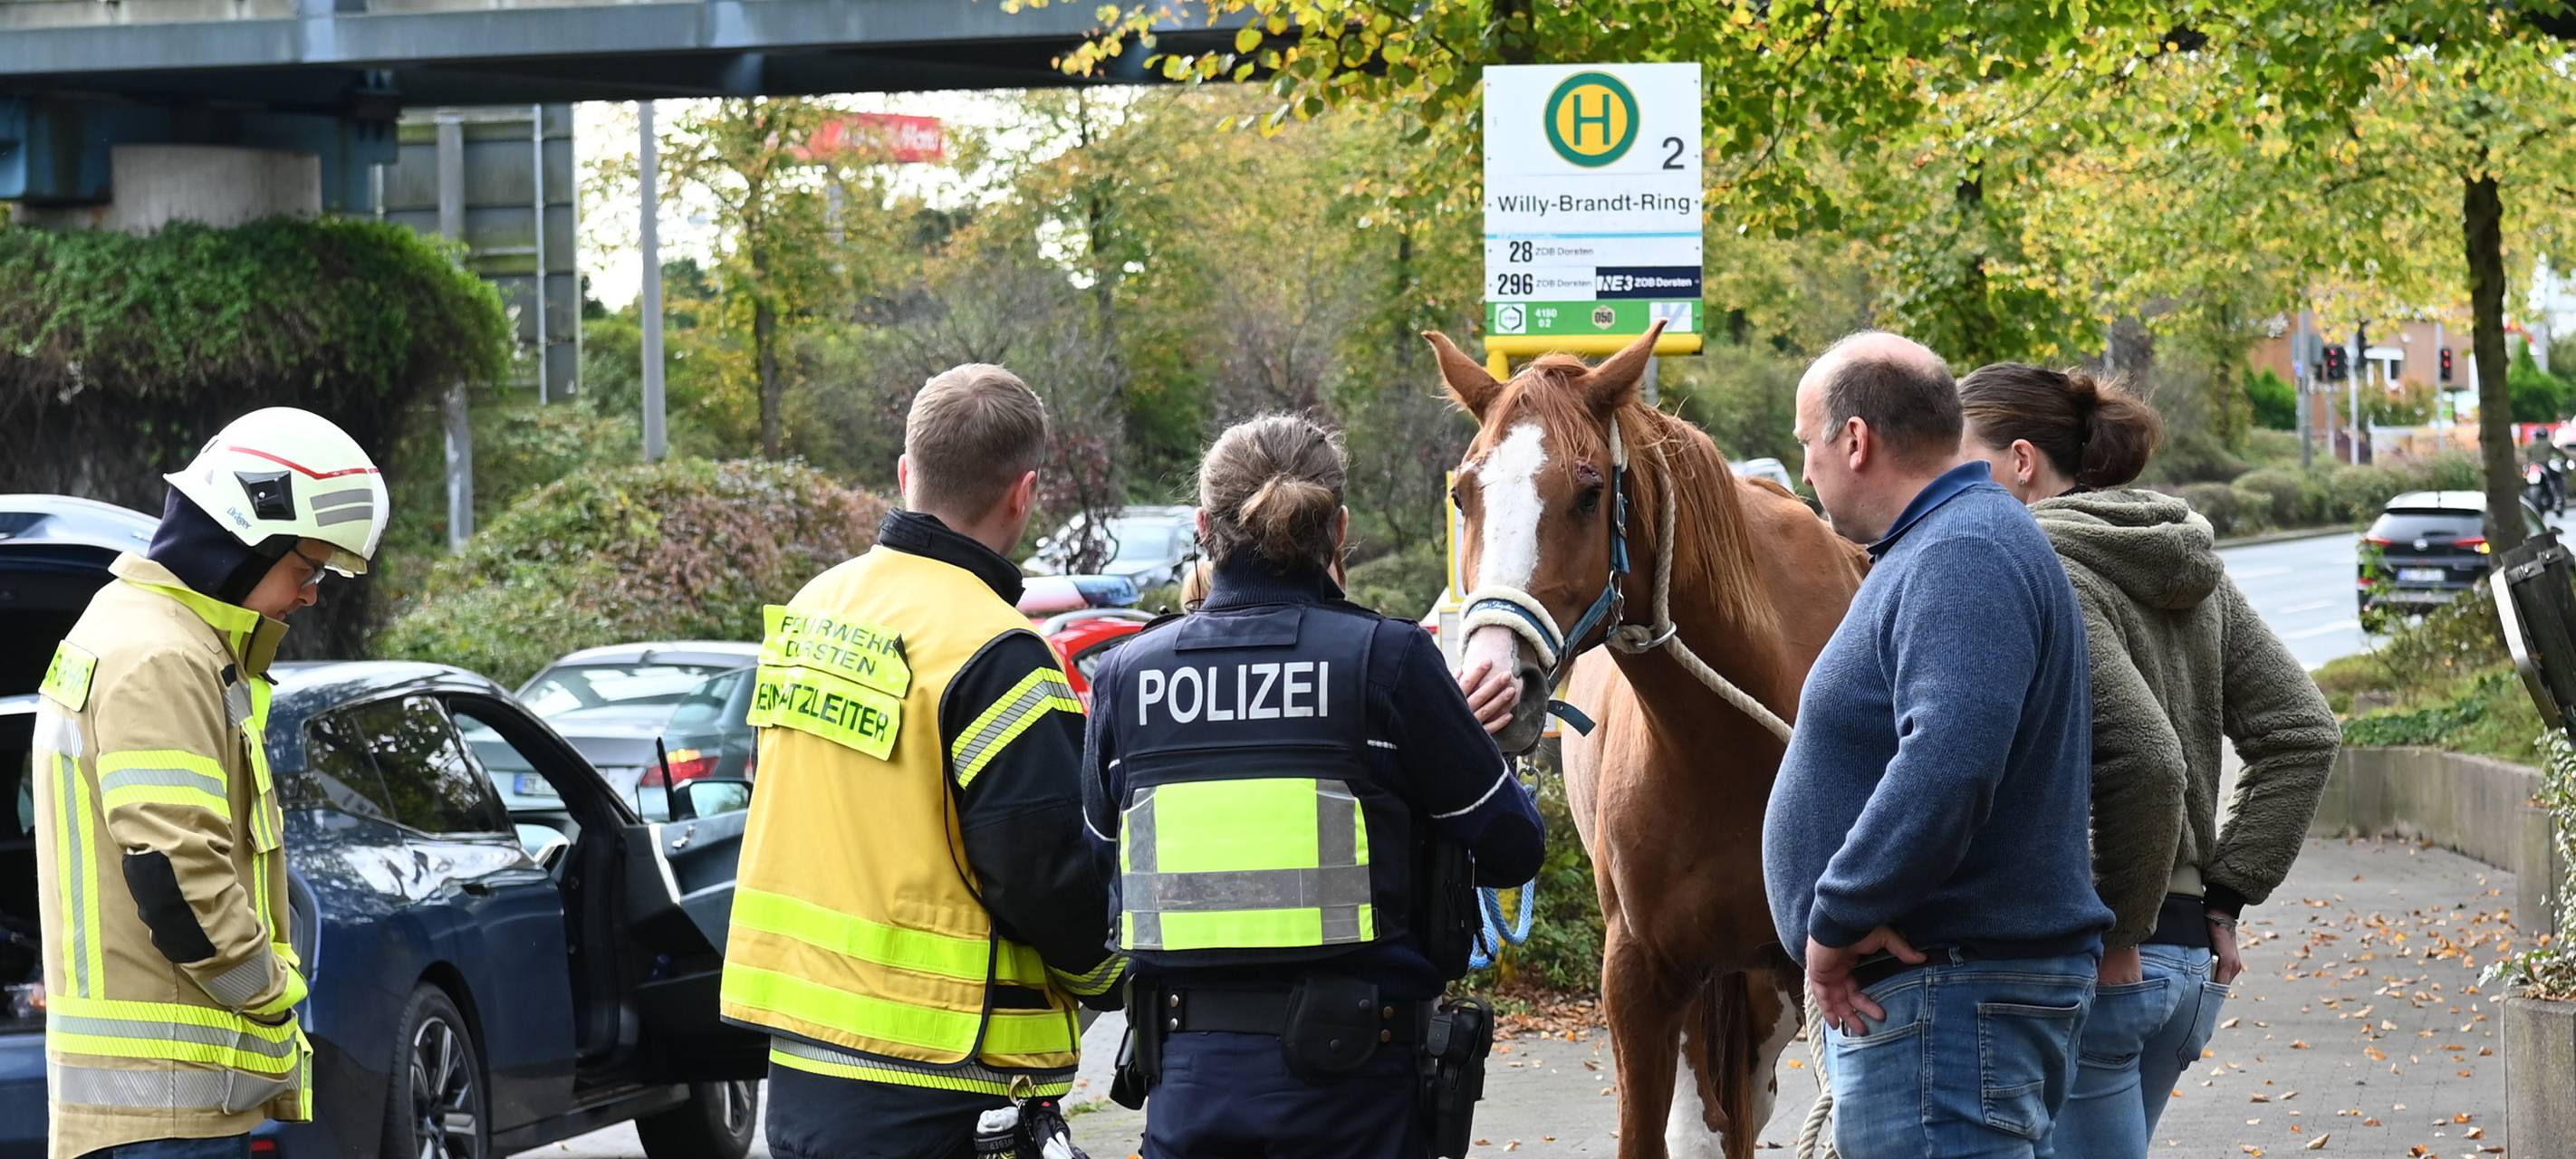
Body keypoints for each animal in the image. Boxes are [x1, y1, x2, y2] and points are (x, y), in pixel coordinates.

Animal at [1425, 322, 1870, 1158]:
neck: (1727, 750)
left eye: (1589, 491)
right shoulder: (1639, 978)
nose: (1494, 684)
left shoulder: (1811, 971)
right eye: (1463, 493)